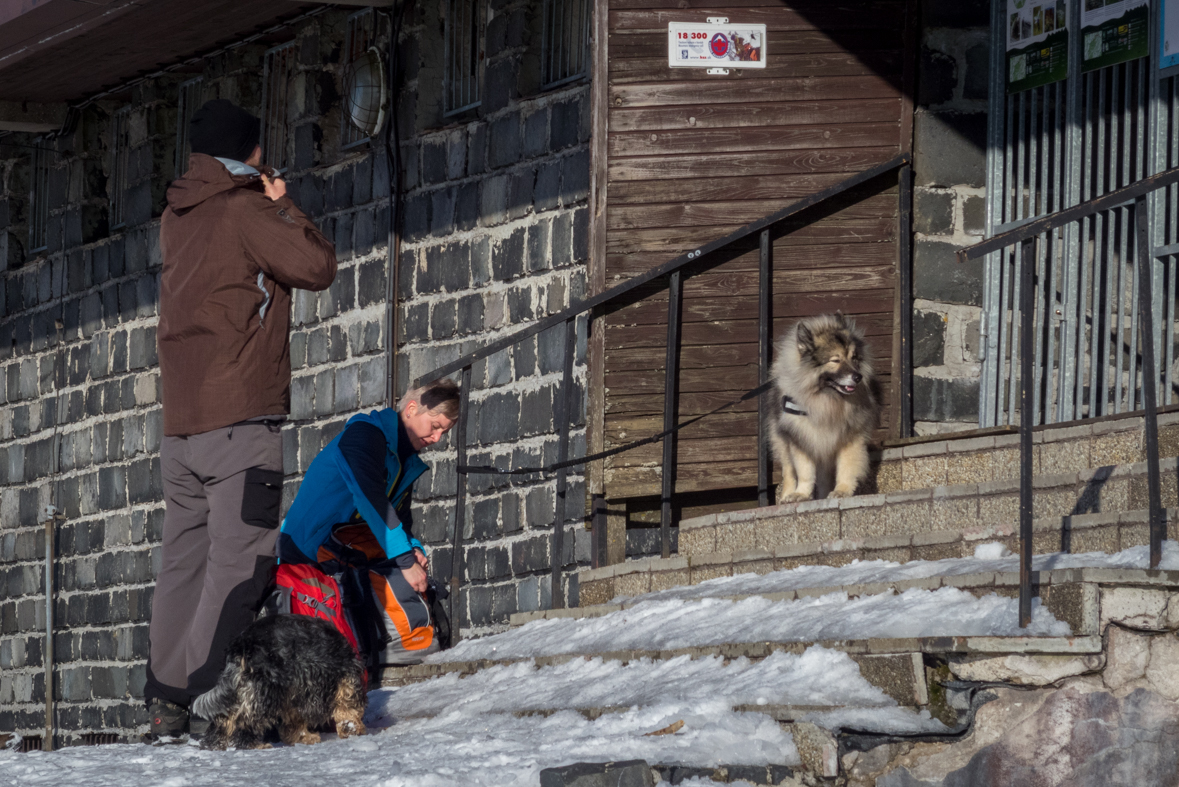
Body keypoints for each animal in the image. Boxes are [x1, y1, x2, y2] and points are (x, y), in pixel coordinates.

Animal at [190, 612, 365, 749]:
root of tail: (241, 644)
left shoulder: (295, 691)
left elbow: (294, 721)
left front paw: (304, 737)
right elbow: (348, 705)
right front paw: (352, 727)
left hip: (242, 687)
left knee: (224, 718)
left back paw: (214, 745)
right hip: (266, 689)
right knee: (247, 720)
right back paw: (255, 745)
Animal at [768, 311, 881, 501]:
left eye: (854, 358)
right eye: (835, 360)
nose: (857, 377)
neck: (827, 399)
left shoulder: (850, 437)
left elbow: (846, 467)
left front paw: (842, 491)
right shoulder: (801, 439)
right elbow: (804, 472)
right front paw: (801, 494)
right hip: (784, 444)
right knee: (789, 472)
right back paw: (787, 495)